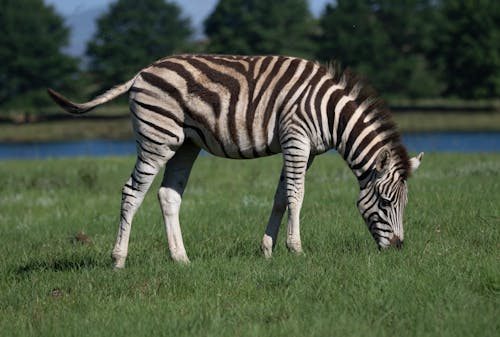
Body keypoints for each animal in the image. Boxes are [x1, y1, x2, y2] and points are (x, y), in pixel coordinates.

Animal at [47, 53, 424, 266]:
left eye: (405, 204)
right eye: (386, 201)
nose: (399, 248)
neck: (330, 113)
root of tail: (141, 73)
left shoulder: (306, 150)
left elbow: (280, 198)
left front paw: (268, 250)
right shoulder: (296, 139)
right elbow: (296, 195)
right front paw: (296, 249)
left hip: (185, 144)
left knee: (168, 195)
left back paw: (181, 259)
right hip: (158, 138)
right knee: (131, 192)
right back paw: (118, 260)